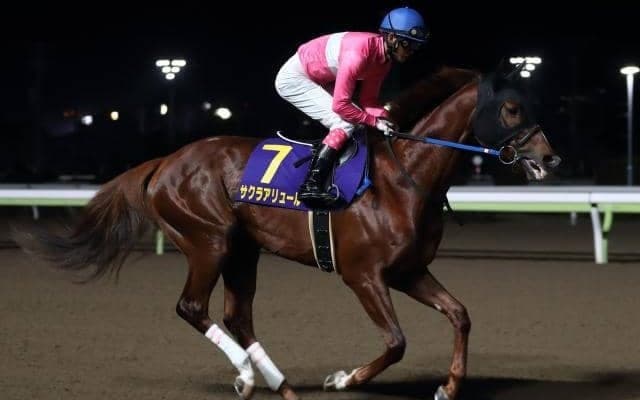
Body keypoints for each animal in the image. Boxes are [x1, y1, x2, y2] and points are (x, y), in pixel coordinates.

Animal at [15, 63, 561, 400]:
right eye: (512, 108)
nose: (550, 157)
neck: (406, 177)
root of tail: (166, 161)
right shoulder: (363, 275)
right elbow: (396, 342)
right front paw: (342, 379)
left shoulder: (408, 271)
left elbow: (460, 315)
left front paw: (447, 387)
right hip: (208, 241)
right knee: (192, 307)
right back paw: (248, 377)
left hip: (243, 251)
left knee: (237, 316)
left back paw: (280, 385)